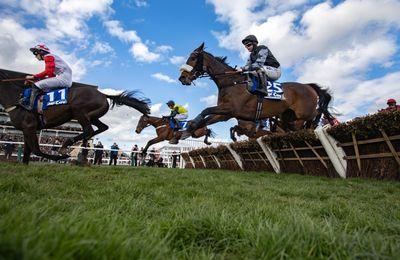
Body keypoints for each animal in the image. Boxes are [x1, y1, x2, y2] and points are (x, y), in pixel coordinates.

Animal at [0, 68, 150, 164]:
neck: (16, 99)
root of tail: (103, 94)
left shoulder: (29, 127)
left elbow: (36, 150)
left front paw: (59, 157)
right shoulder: (27, 130)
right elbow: (28, 151)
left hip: (78, 111)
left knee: (88, 129)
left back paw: (68, 144)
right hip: (92, 116)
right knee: (100, 128)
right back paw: (82, 145)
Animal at [179, 43, 334, 134]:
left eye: (193, 58)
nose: (182, 78)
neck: (232, 82)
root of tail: (308, 86)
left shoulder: (232, 108)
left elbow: (206, 110)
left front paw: (192, 123)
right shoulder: (224, 114)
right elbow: (207, 118)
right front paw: (191, 127)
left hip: (303, 113)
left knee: (317, 113)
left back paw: (324, 122)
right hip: (288, 116)